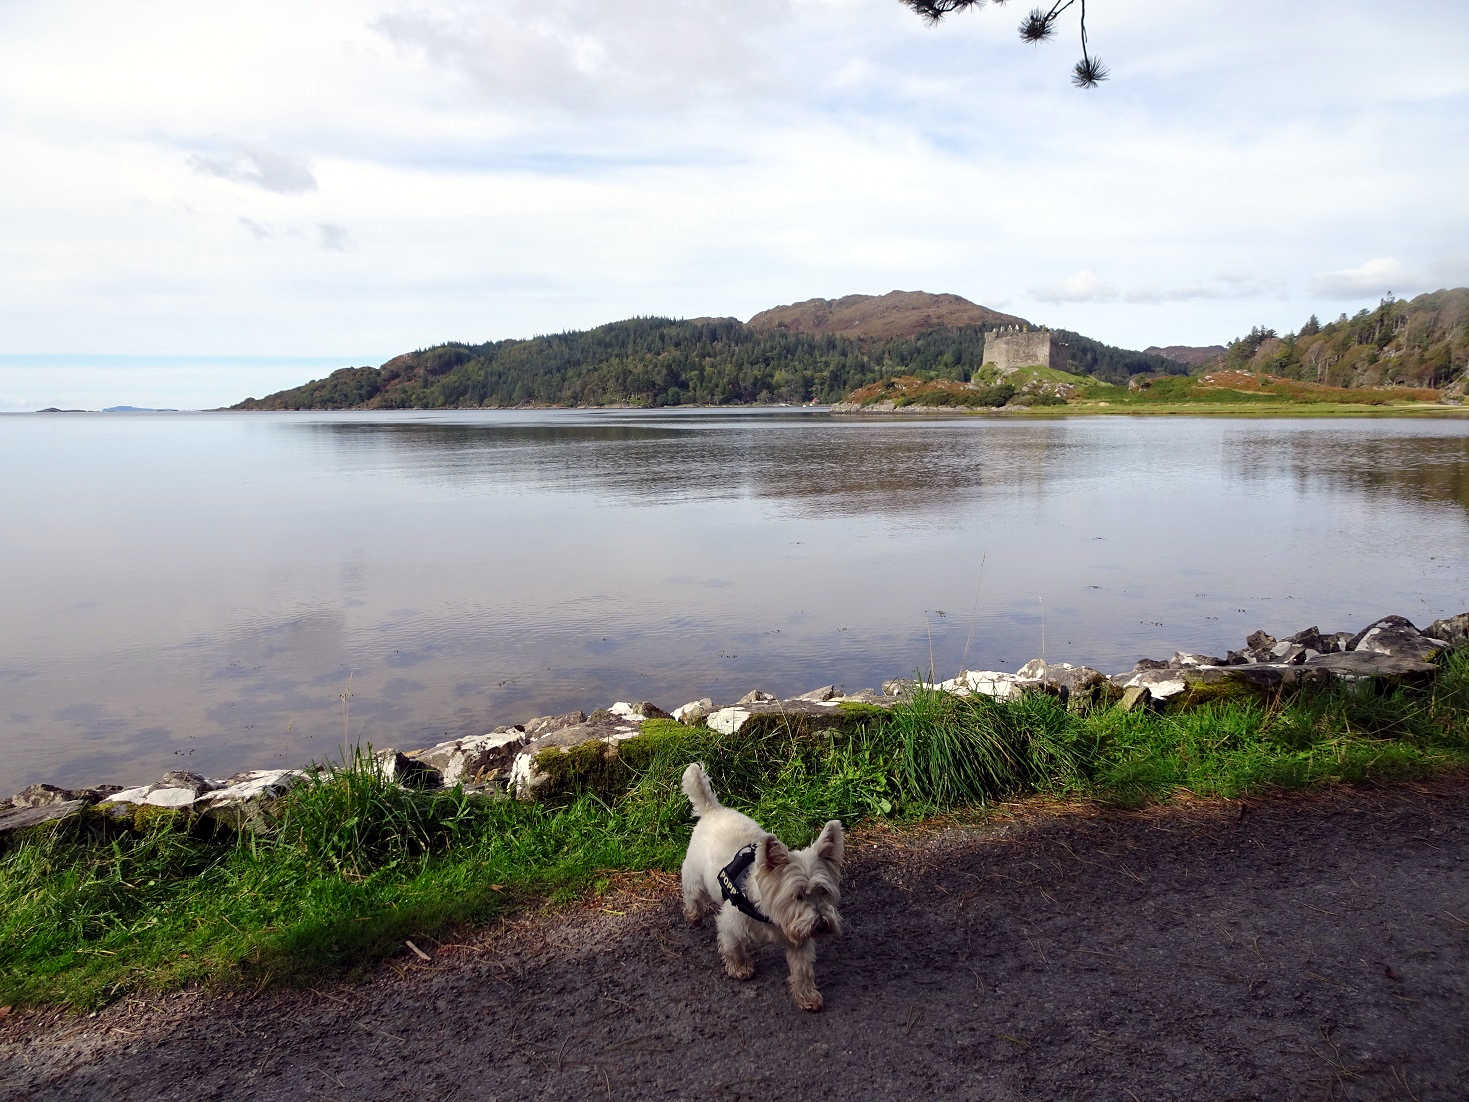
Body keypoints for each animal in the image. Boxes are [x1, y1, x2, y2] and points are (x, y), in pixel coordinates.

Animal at [678, 769, 846, 1010]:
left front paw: (807, 996)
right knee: (692, 895)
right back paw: (693, 915)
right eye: (797, 896)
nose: (822, 924)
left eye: (823, 891)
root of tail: (713, 810)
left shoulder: (799, 939)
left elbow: (802, 969)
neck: (770, 914)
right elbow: (732, 947)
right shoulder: (730, 923)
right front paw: (740, 968)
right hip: (694, 876)